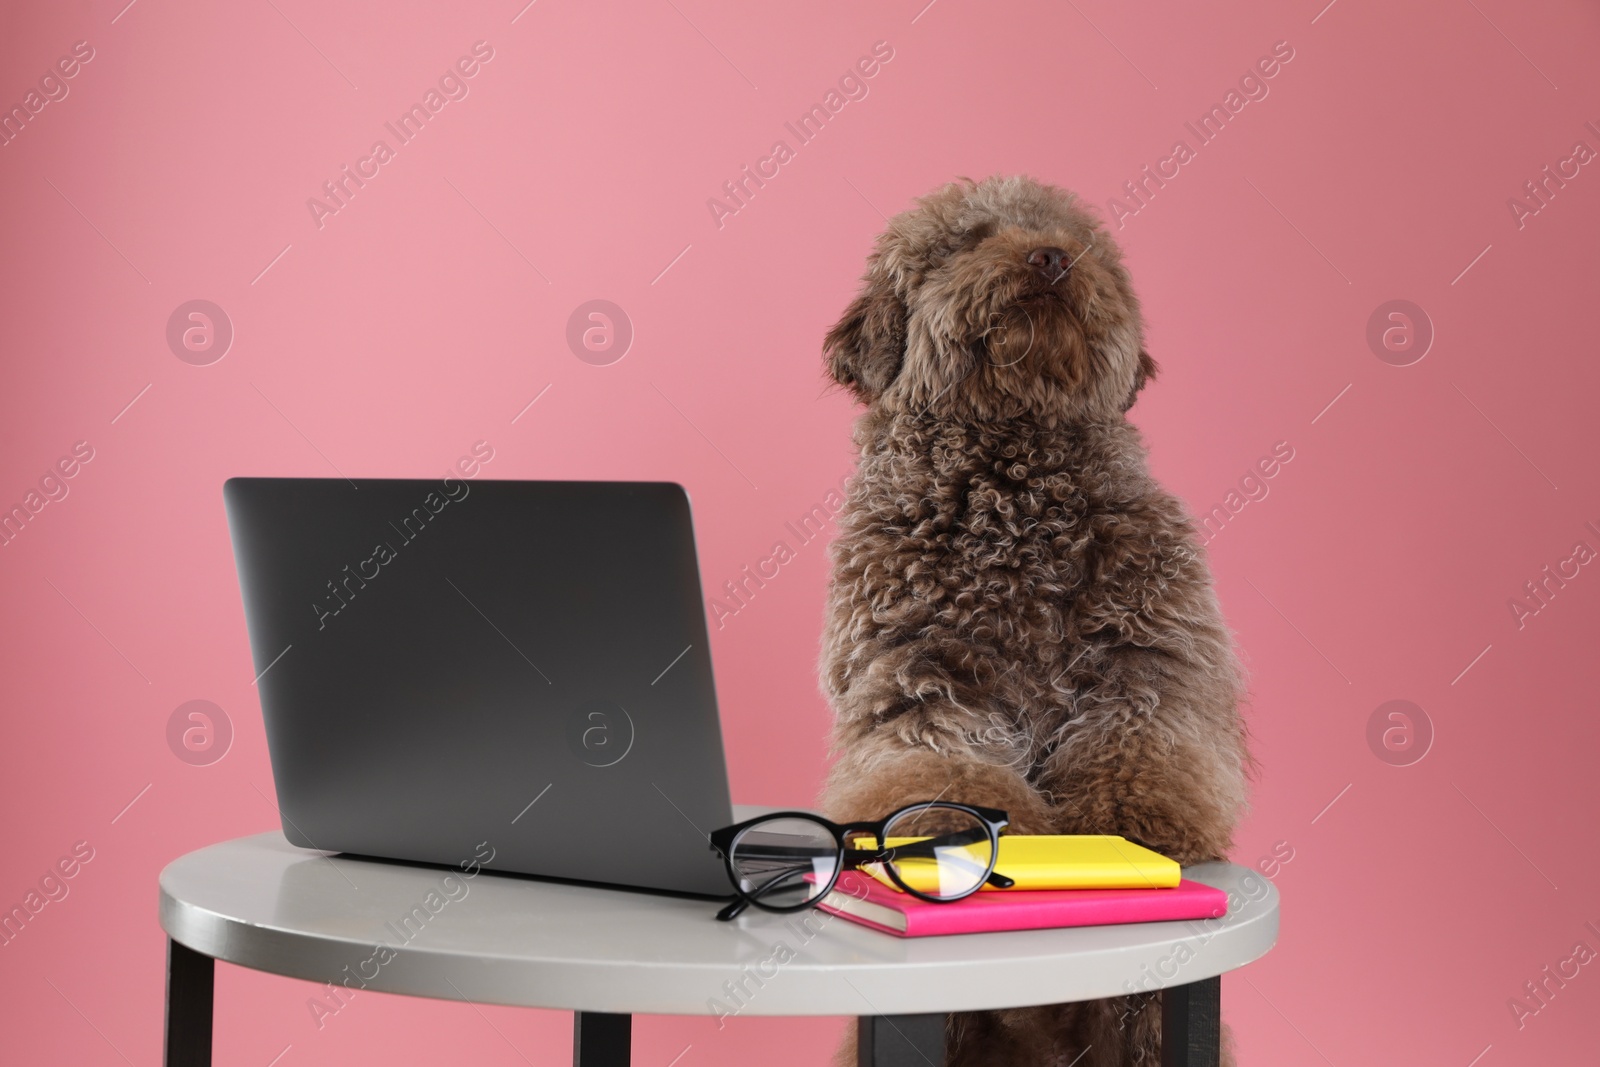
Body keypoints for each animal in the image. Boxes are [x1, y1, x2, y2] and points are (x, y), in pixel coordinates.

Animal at [825, 177, 1248, 1067]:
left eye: (1077, 242)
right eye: (966, 240)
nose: (1049, 259)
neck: (1013, 471)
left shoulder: (1148, 659)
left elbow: (1140, 747)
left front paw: (1125, 827)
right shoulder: (921, 680)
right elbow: (943, 764)